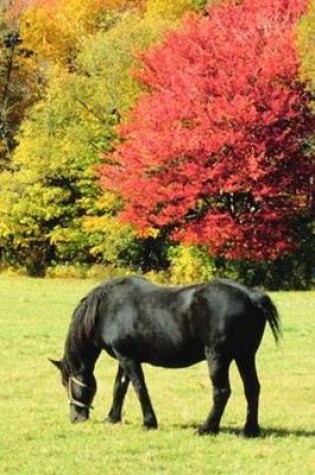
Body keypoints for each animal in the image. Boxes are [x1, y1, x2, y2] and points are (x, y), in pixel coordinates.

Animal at [50, 278, 282, 436]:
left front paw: (149, 422)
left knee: (222, 391)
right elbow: (120, 388)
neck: (108, 308)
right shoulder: (123, 358)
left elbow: (139, 388)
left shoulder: (128, 359)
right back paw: (250, 429)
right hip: (245, 356)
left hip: (218, 357)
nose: (75, 418)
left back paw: (207, 428)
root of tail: (250, 296)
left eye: (66, 383)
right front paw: (112, 418)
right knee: (252, 388)